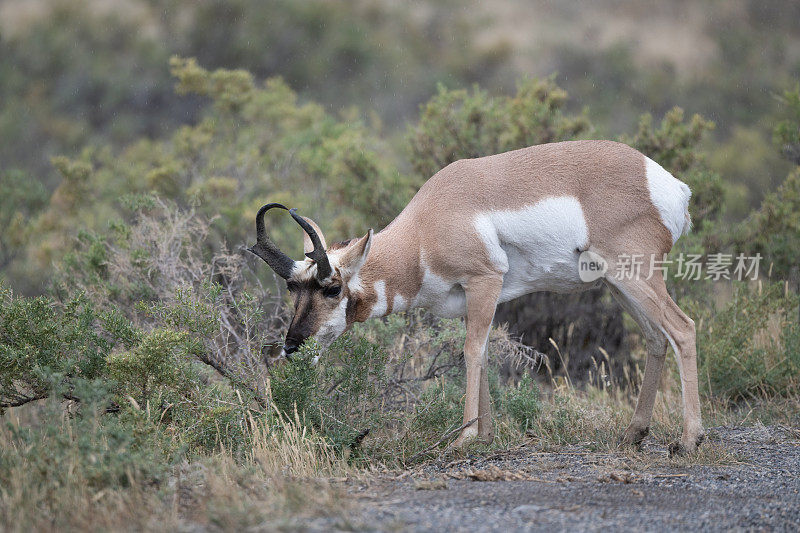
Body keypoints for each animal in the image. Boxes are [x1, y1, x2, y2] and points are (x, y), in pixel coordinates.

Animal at [250, 140, 708, 454]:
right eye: (293, 288)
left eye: (331, 287)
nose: (292, 346)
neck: (427, 225)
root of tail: (667, 184)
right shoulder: (469, 301)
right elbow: (484, 351)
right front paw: (485, 435)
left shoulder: (485, 283)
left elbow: (472, 352)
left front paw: (464, 437)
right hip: (618, 284)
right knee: (656, 338)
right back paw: (633, 434)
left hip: (635, 276)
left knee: (683, 328)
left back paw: (689, 441)